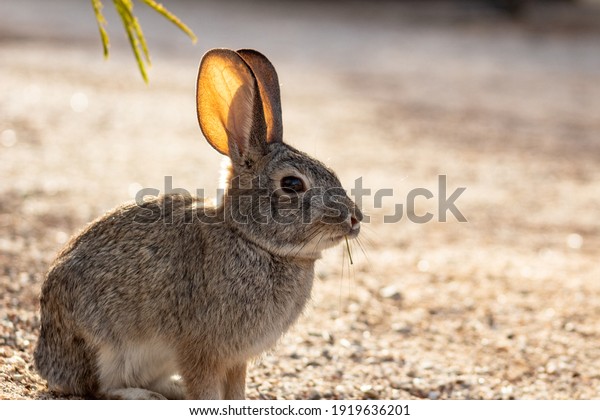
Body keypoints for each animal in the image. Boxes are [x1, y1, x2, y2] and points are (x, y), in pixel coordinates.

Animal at [35, 47, 364, 398]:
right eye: (292, 184)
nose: (355, 218)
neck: (253, 240)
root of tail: (46, 359)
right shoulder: (201, 350)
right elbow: (206, 389)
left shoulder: (236, 359)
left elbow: (235, 390)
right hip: (102, 346)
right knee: (97, 389)